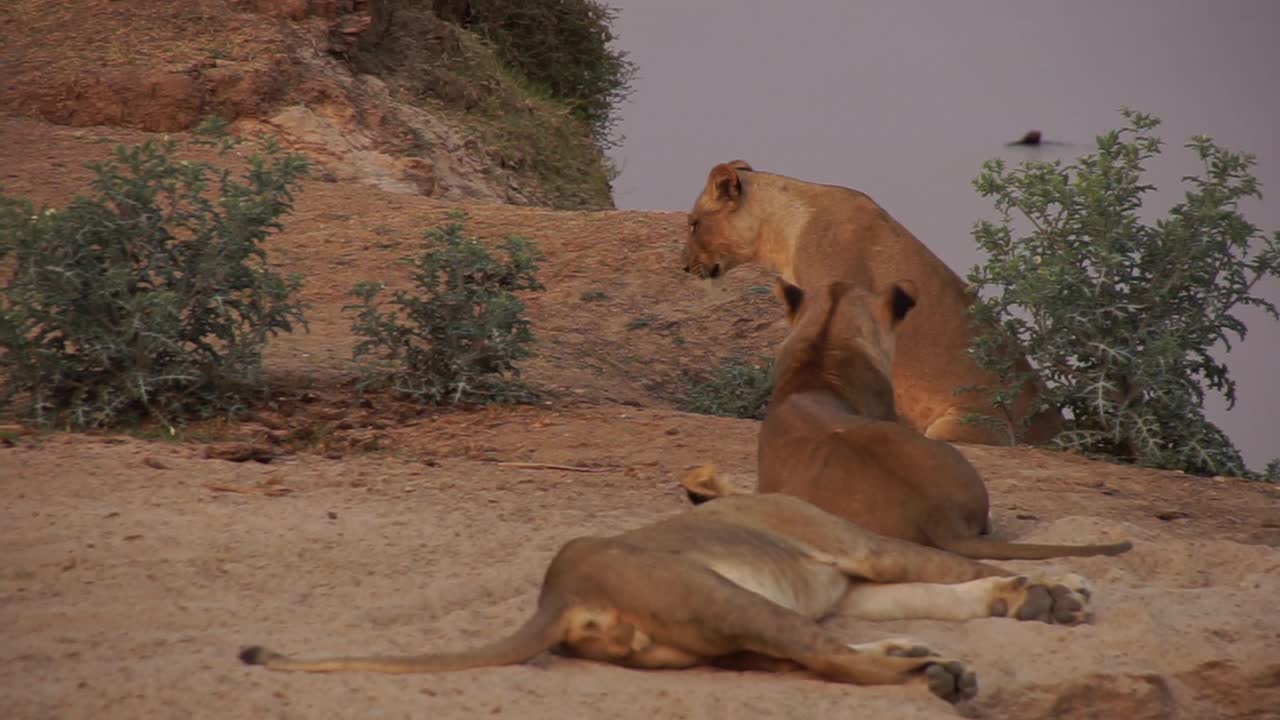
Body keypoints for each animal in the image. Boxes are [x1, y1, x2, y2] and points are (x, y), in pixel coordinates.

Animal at [241, 486, 1100, 702]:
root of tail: (559, 590)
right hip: (724, 598)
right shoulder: (860, 551)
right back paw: (935, 674)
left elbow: (949, 587)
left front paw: (1031, 598)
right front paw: (1058, 590)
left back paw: (918, 653)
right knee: (832, 660)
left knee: (812, 655)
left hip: (724, 638)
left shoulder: (845, 588)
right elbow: (943, 568)